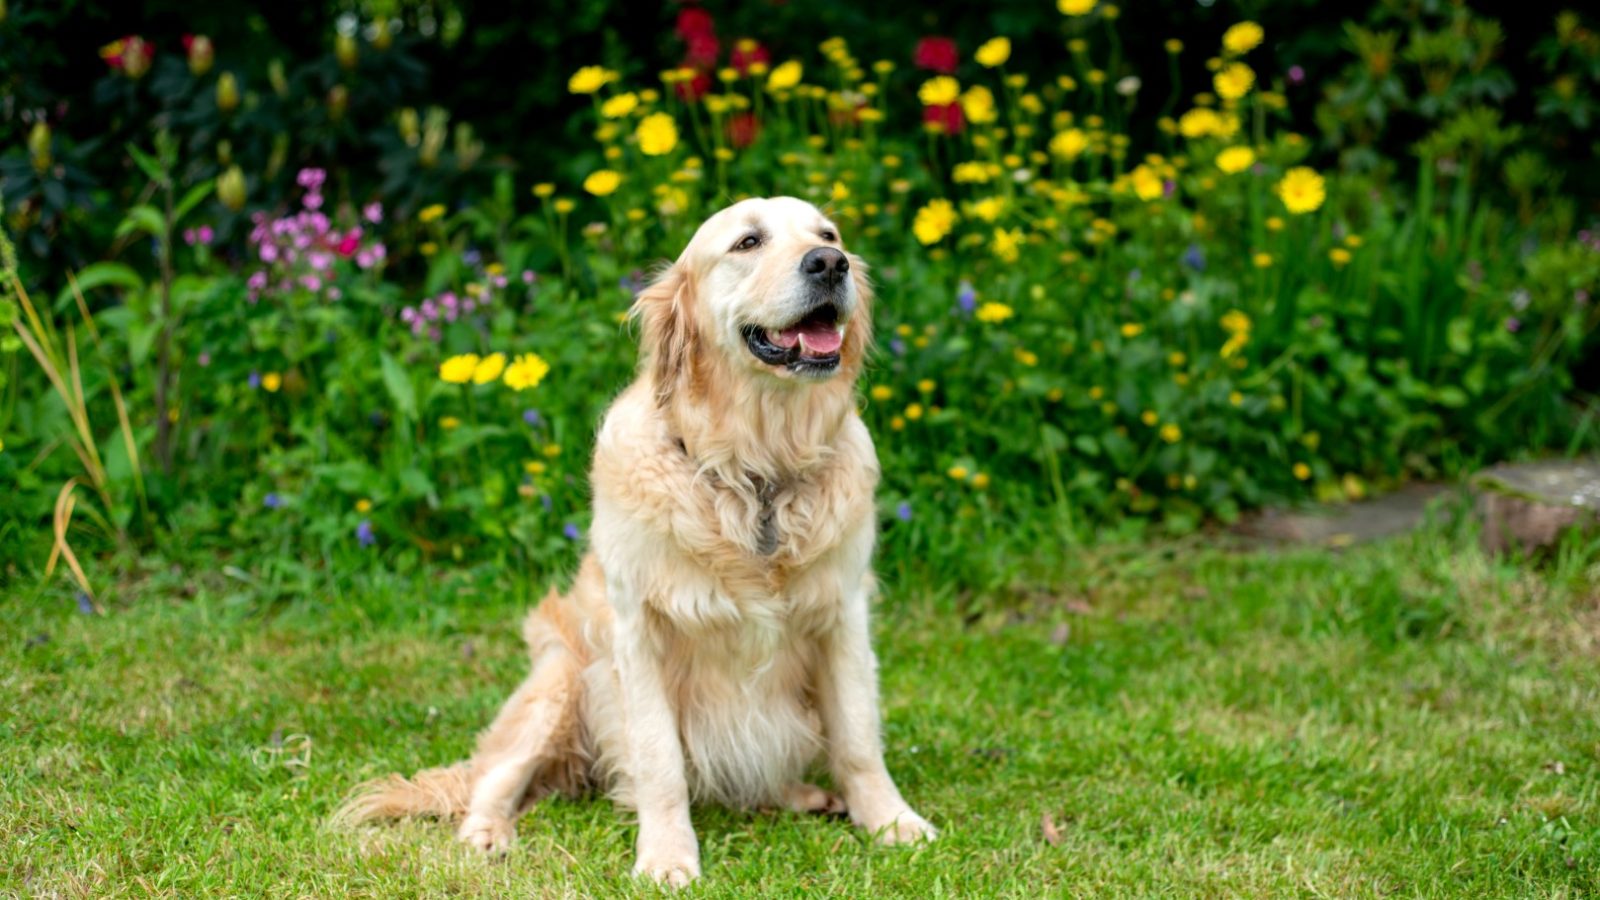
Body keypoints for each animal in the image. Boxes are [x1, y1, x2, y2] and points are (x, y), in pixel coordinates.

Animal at [339, 197, 934, 883]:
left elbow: (859, 737)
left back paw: (805, 795)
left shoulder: (843, 613)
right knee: (496, 775)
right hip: (561, 678)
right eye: (748, 242)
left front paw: (892, 821)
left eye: (829, 234)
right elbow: (659, 760)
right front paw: (668, 856)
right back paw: (486, 834)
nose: (831, 264)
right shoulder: (639, 632)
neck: (757, 471)